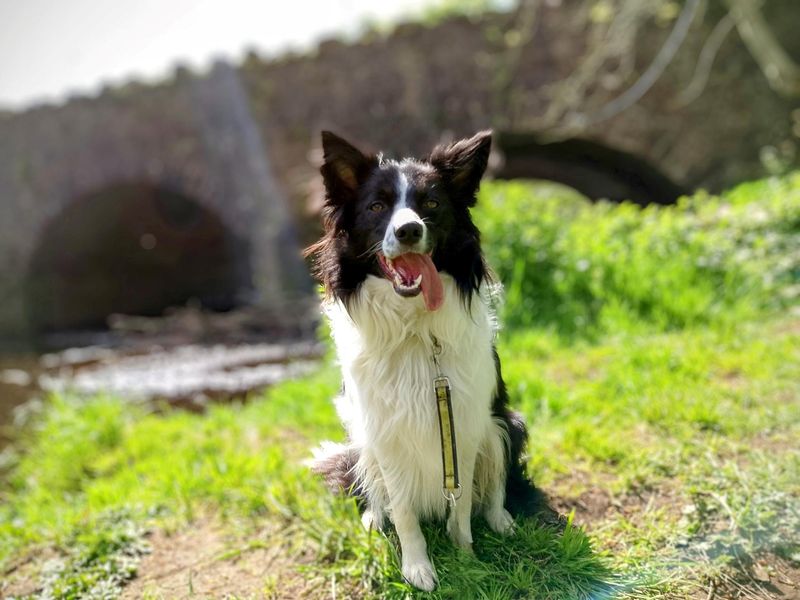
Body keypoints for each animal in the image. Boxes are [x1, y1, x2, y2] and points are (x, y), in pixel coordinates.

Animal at [310, 131, 552, 592]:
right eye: (377, 207)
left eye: (433, 204)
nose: (408, 229)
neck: (415, 328)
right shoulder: (385, 430)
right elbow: (404, 510)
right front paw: (418, 567)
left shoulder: (466, 421)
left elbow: (462, 503)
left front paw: (466, 556)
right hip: (361, 439)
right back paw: (374, 518)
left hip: (505, 424)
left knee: (495, 484)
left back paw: (501, 521)